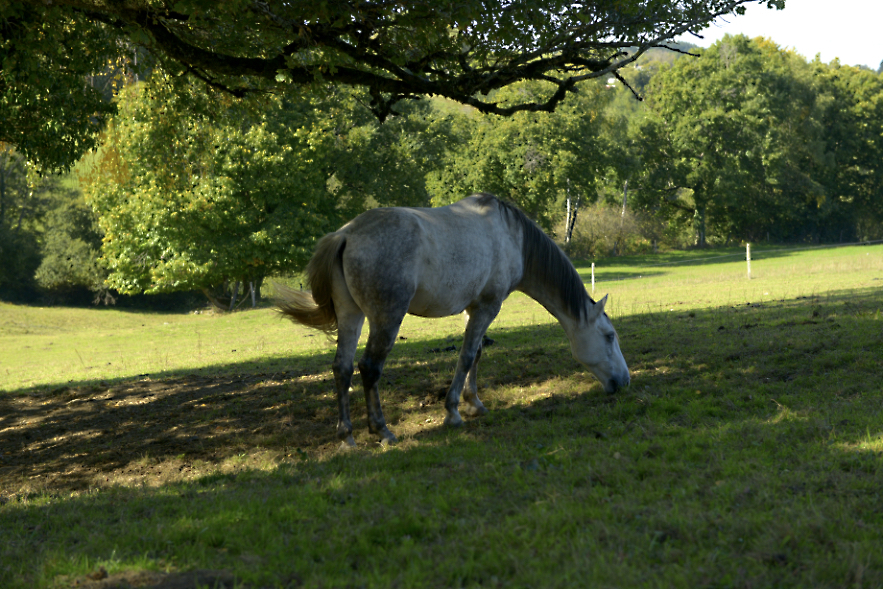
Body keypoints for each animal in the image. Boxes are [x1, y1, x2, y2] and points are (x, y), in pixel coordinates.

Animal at [276, 193, 628, 446]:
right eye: (609, 336)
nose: (624, 381)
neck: (512, 237)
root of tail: (347, 234)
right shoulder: (488, 306)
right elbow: (468, 355)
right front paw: (453, 411)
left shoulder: (474, 308)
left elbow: (477, 352)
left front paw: (474, 403)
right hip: (386, 318)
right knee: (369, 368)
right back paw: (382, 431)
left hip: (352, 315)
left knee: (342, 368)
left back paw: (346, 436)